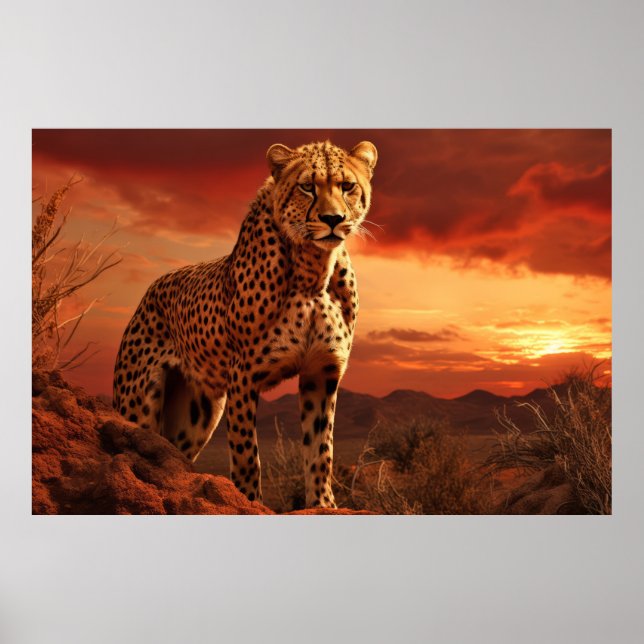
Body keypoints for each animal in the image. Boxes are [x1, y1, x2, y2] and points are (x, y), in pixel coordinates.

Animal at [112, 139, 378, 508]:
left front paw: (323, 505)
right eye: (307, 187)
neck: (313, 271)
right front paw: (250, 502)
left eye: (347, 186)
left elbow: (320, 450)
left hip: (197, 414)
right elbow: (247, 455)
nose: (333, 219)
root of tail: (151, 287)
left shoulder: (322, 373)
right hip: (139, 404)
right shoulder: (244, 376)